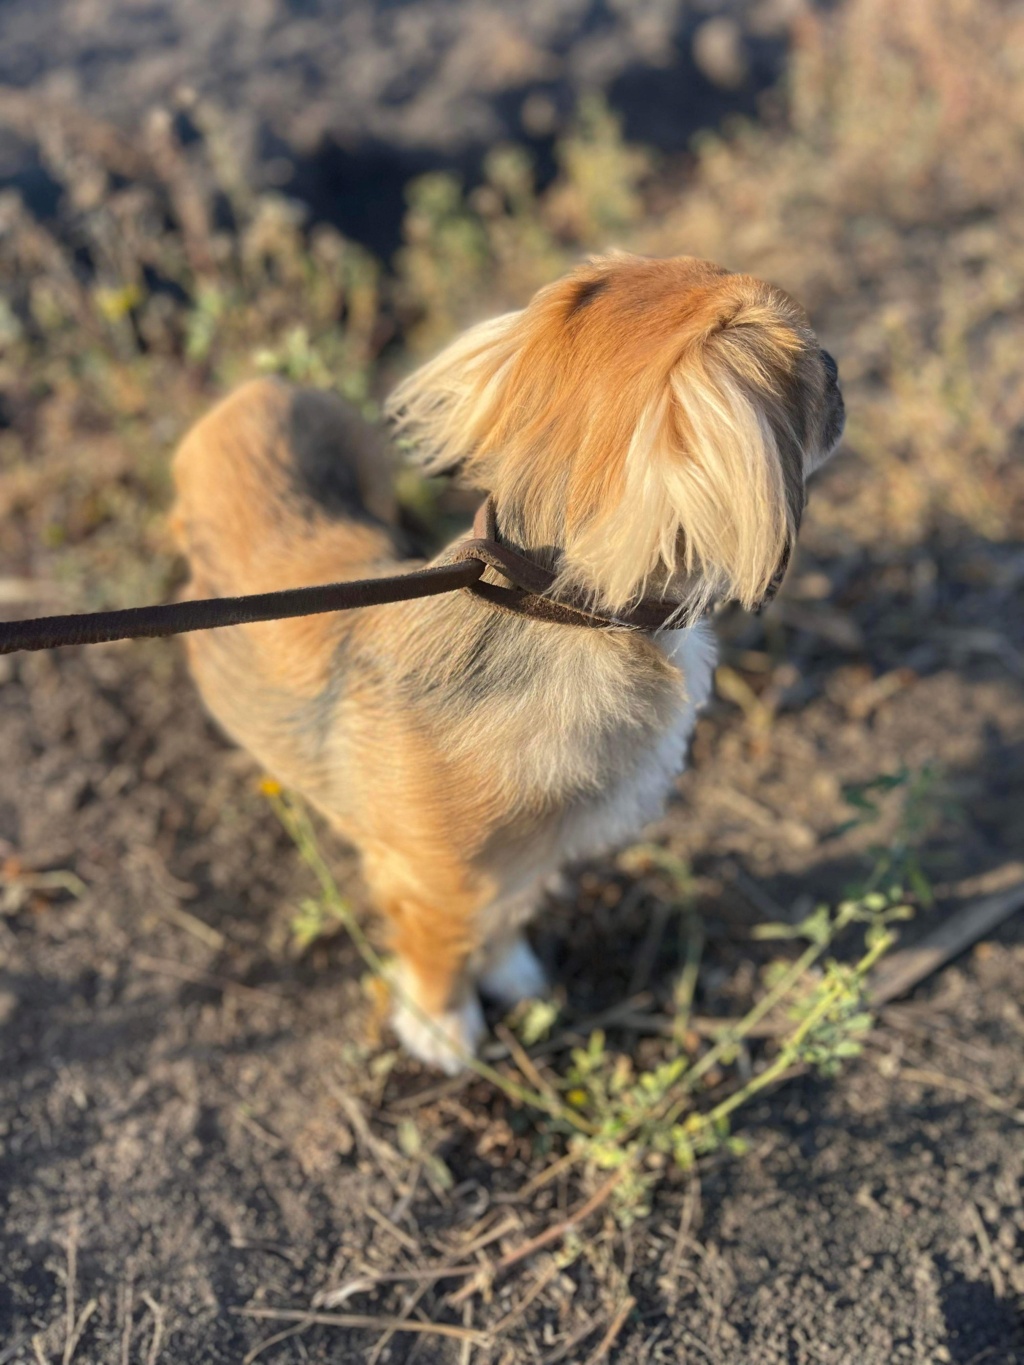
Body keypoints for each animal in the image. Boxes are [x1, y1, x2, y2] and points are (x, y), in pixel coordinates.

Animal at [172, 251, 851, 1070]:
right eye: (807, 368)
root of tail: (256, 387)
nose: (838, 364)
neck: (555, 605)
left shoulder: (525, 852)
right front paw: (442, 1028)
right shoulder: (431, 881)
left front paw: (511, 974)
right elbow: (442, 948)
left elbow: (503, 916)